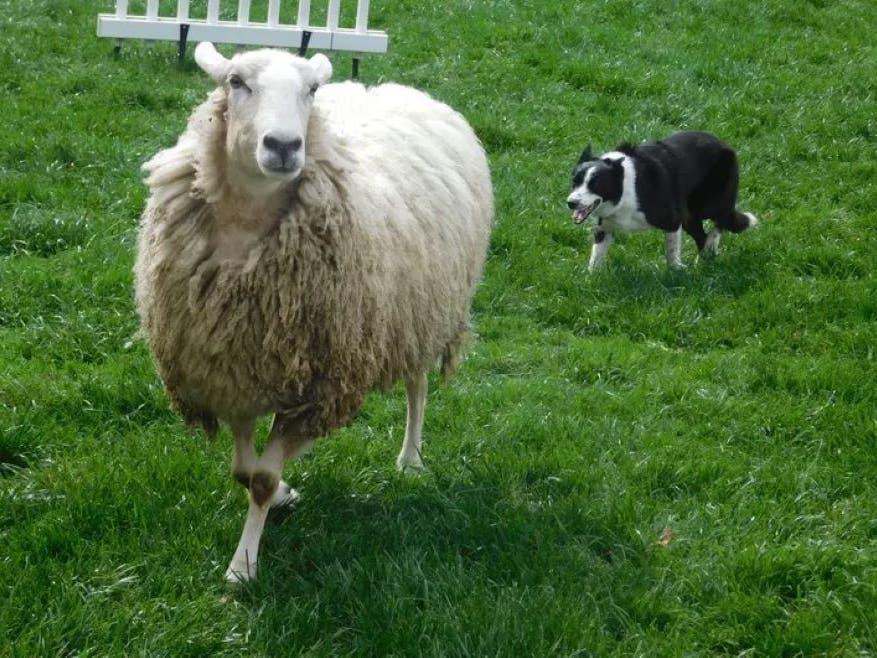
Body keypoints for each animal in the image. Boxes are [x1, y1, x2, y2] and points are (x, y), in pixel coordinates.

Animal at [134, 42, 493, 583]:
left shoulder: (321, 387)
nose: (284, 145)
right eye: (236, 82)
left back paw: (410, 458)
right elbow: (244, 471)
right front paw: (283, 497)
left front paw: (243, 567)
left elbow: (260, 479)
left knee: (417, 386)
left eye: (312, 89)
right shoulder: (232, 371)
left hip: (420, 312)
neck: (245, 229)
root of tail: (397, 90)